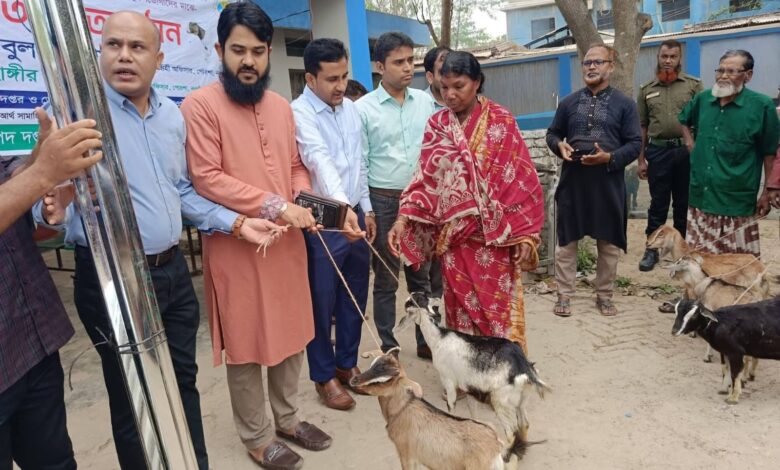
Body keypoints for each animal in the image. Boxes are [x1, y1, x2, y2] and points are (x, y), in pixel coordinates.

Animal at [349, 349, 510, 470]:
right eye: (372, 365)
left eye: (385, 381)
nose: (354, 380)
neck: (401, 408)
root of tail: (496, 444)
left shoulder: (407, 454)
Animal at [395, 292, 551, 451]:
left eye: (409, 303)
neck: (438, 338)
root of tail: (523, 367)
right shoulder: (469, 387)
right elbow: (473, 413)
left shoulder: (448, 379)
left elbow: (451, 407)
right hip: (522, 400)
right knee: (525, 425)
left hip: (500, 400)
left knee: (511, 433)